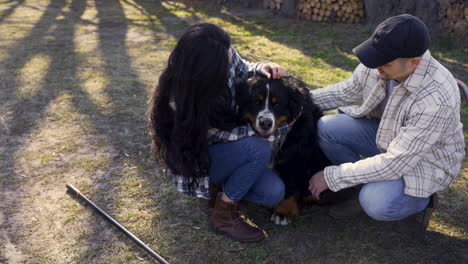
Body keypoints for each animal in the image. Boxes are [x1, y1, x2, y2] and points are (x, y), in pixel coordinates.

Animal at [236, 76, 352, 225]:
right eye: (256, 101)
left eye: (277, 104)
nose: (265, 123)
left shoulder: (294, 158)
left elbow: (290, 187)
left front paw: (283, 212)